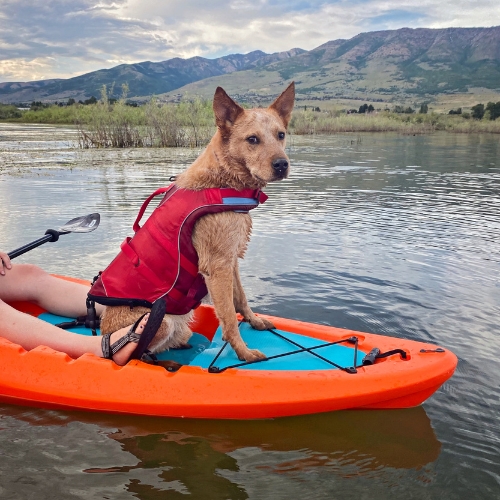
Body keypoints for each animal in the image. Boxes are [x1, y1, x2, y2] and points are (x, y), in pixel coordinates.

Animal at [99, 84, 294, 362]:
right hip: (160, 322)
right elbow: (228, 316)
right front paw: (243, 352)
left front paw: (254, 321)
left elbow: (241, 298)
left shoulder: (231, 259)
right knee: (132, 354)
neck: (222, 180)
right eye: (252, 139)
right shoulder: (217, 266)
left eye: (281, 135)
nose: (281, 165)